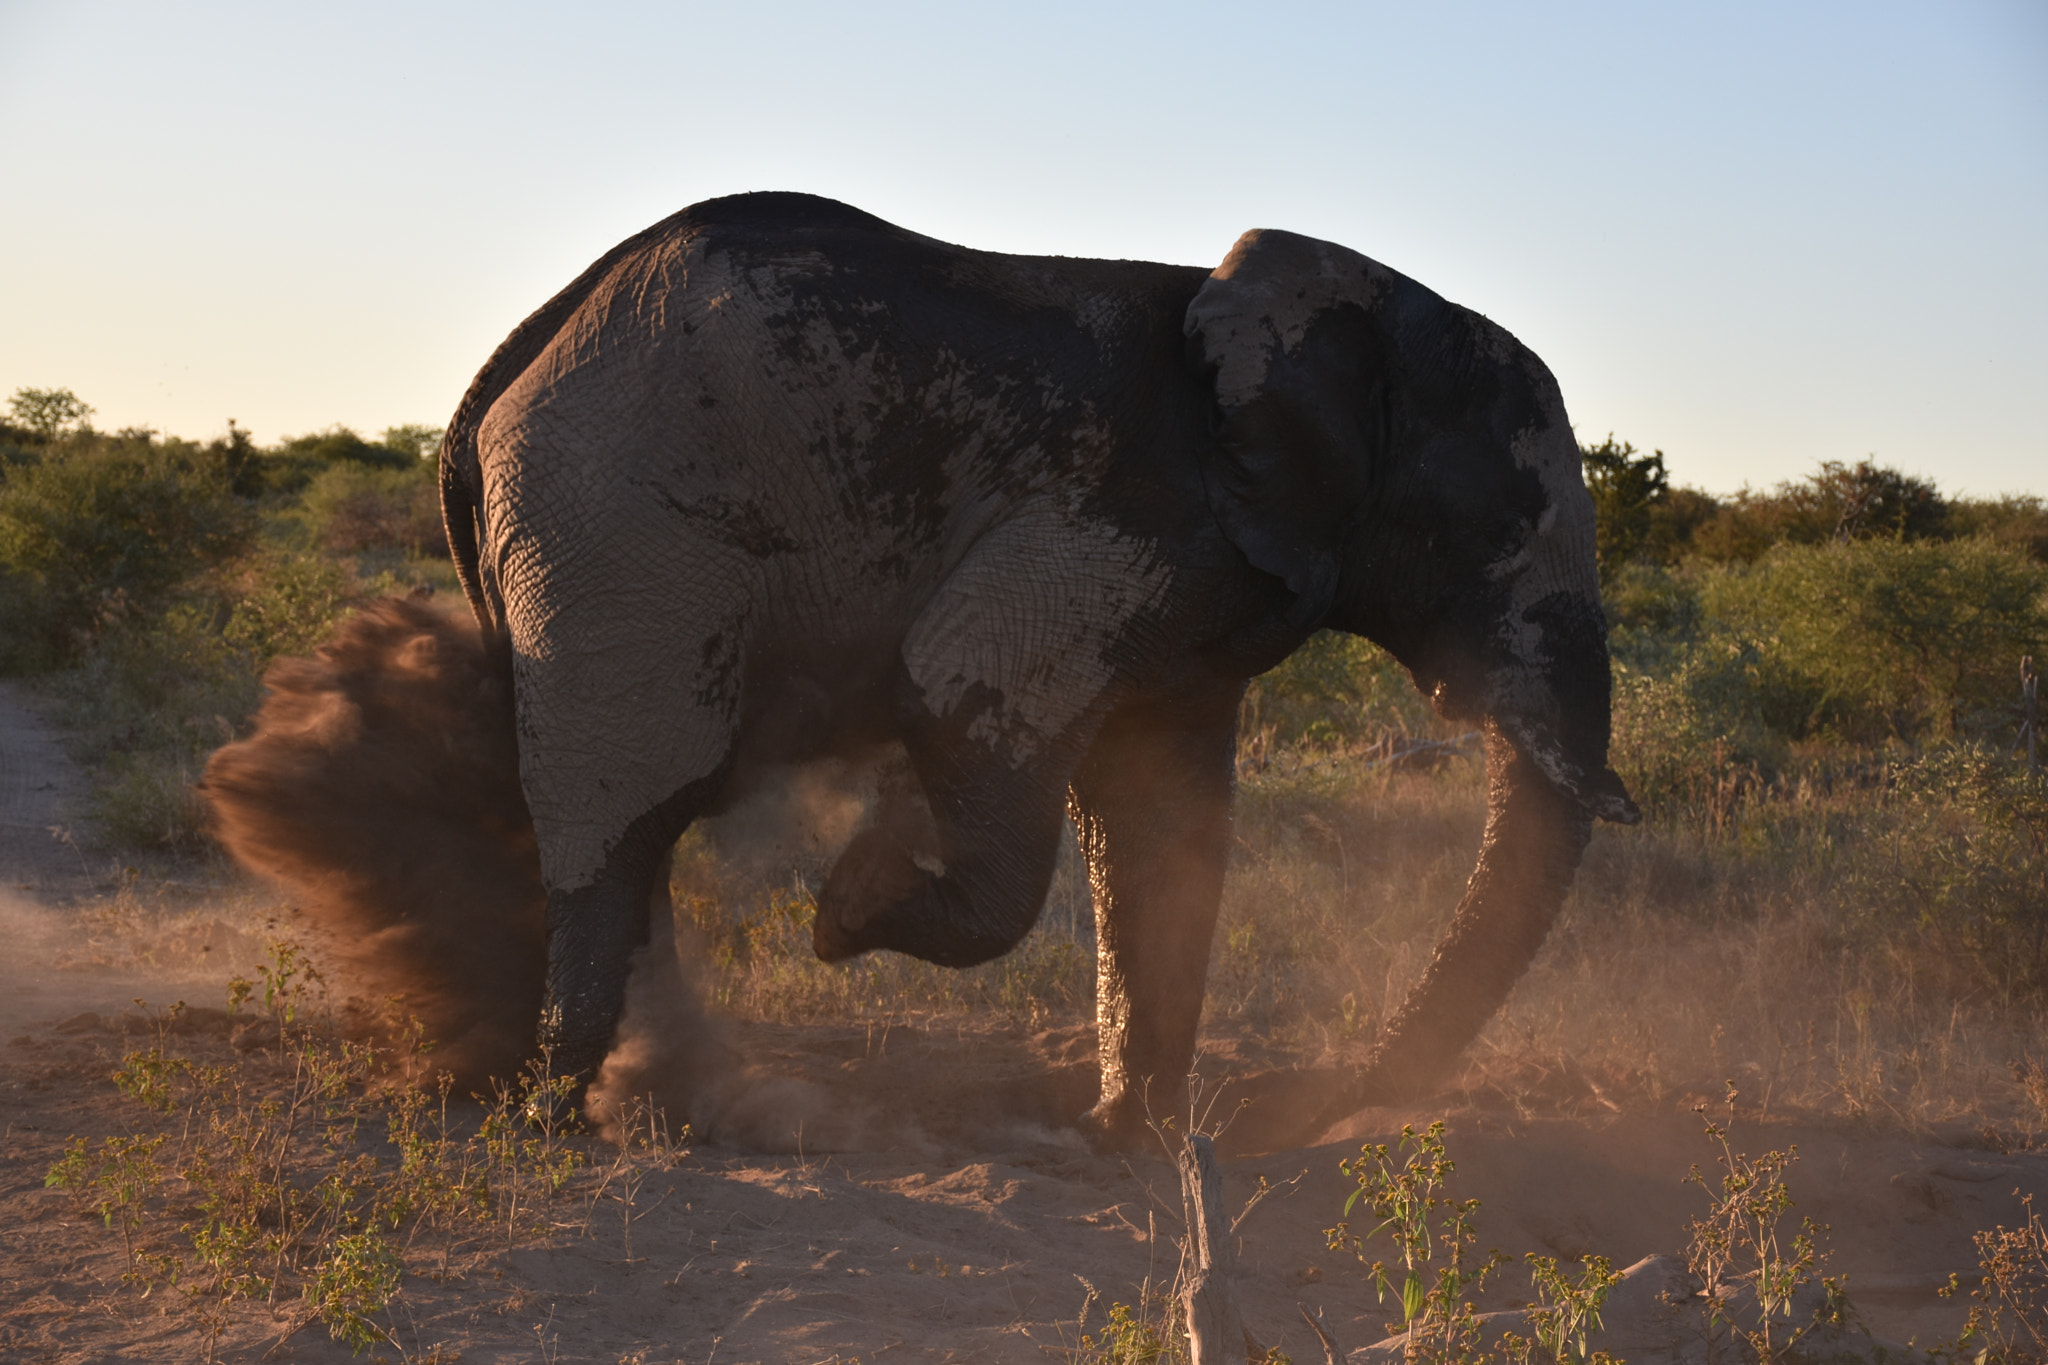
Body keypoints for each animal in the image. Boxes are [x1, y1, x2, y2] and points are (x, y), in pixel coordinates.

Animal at [210, 190, 1637, 1145]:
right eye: (1508, 524)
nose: (1312, 1114)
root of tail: (500, 374)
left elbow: (1163, 818)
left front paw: (1127, 1146)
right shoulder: (1109, 515)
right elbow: (954, 687)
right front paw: (850, 905)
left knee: (628, 817)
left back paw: (641, 1086)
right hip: (617, 524)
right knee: (625, 803)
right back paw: (561, 1107)